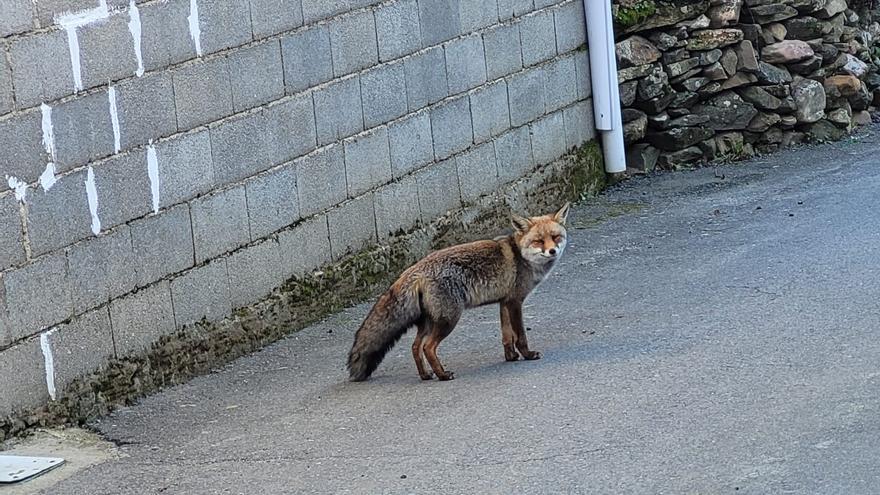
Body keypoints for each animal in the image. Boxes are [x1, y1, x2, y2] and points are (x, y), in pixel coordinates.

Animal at [344, 203, 572, 382]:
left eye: (555, 237)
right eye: (539, 241)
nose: (552, 251)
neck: (522, 258)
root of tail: (414, 269)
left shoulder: (504, 301)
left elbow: (506, 336)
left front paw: (510, 357)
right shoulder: (515, 302)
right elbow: (520, 335)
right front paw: (527, 355)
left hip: (429, 321)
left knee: (415, 347)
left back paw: (426, 375)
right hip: (448, 319)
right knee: (428, 347)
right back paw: (443, 375)